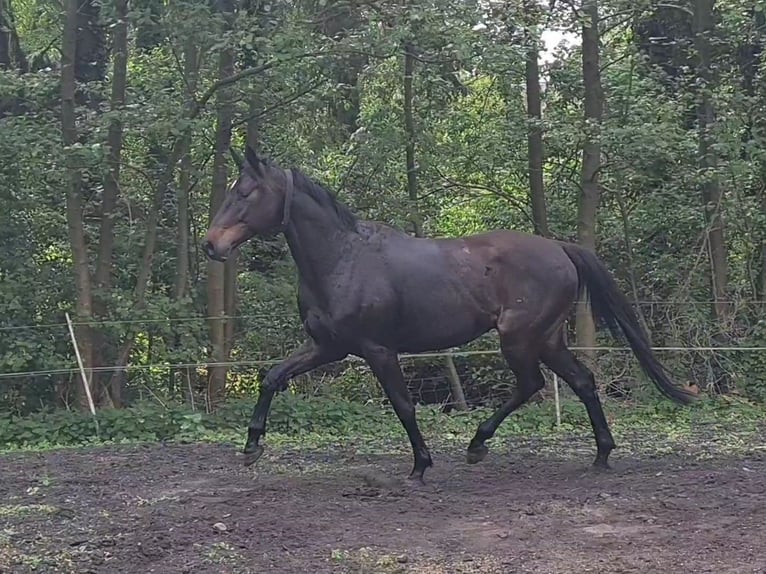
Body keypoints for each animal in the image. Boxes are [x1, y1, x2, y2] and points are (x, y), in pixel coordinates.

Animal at [202, 146, 696, 484]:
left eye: (245, 193)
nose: (211, 244)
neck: (343, 259)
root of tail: (560, 248)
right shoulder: (329, 347)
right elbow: (272, 377)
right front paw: (251, 446)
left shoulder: (377, 350)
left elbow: (403, 405)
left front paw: (420, 466)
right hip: (548, 339)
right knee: (581, 382)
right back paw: (599, 454)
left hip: (519, 339)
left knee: (532, 384)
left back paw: (479, 445)